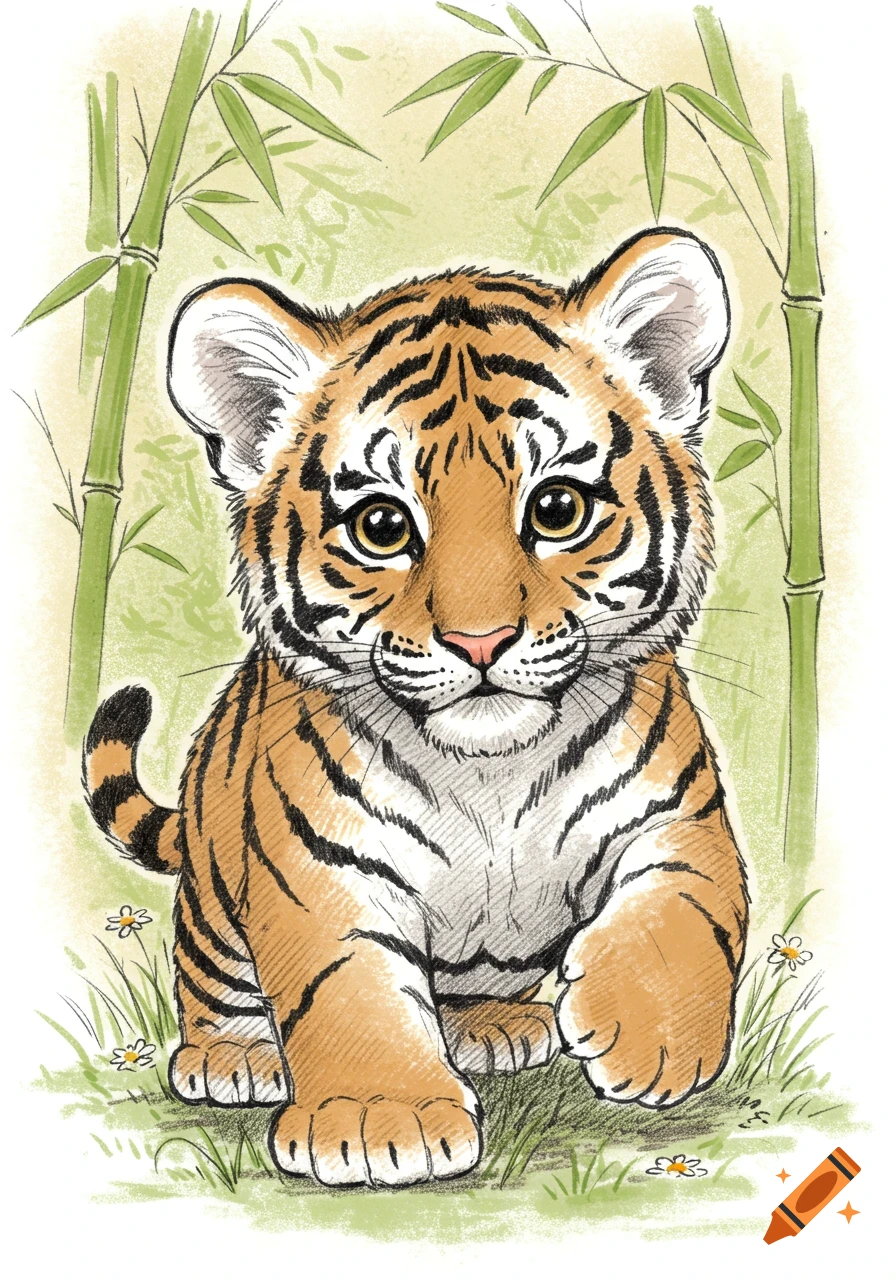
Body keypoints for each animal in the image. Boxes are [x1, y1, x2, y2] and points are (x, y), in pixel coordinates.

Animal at [84, 226, 749, 1189]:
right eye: (382, 528)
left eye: (557, 508)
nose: (480, 641)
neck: (493, 770)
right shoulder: (322, 871)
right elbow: (347, 988)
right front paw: (376, 1120)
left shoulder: (679, 818)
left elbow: (686, 912)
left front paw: (651, 1039)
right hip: (213, 897)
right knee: (211, 979)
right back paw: (232, 1057)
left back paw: (496, 1029)